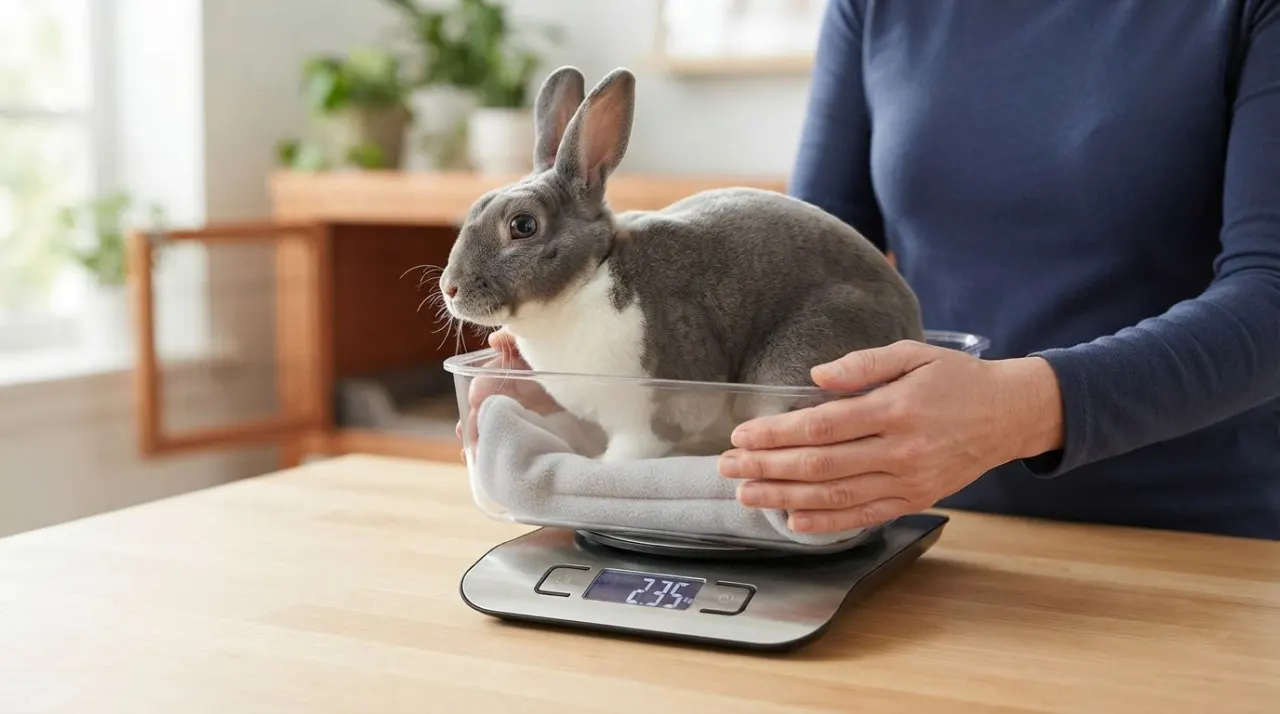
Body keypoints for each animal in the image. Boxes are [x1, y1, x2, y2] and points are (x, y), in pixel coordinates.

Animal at [440, 66, 924, 462]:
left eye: (523, 226)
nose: (450, 287)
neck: (590, 277)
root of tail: (914, 328)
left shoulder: (651, 411)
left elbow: (636, 447)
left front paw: (603, 465)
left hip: (797, 363)